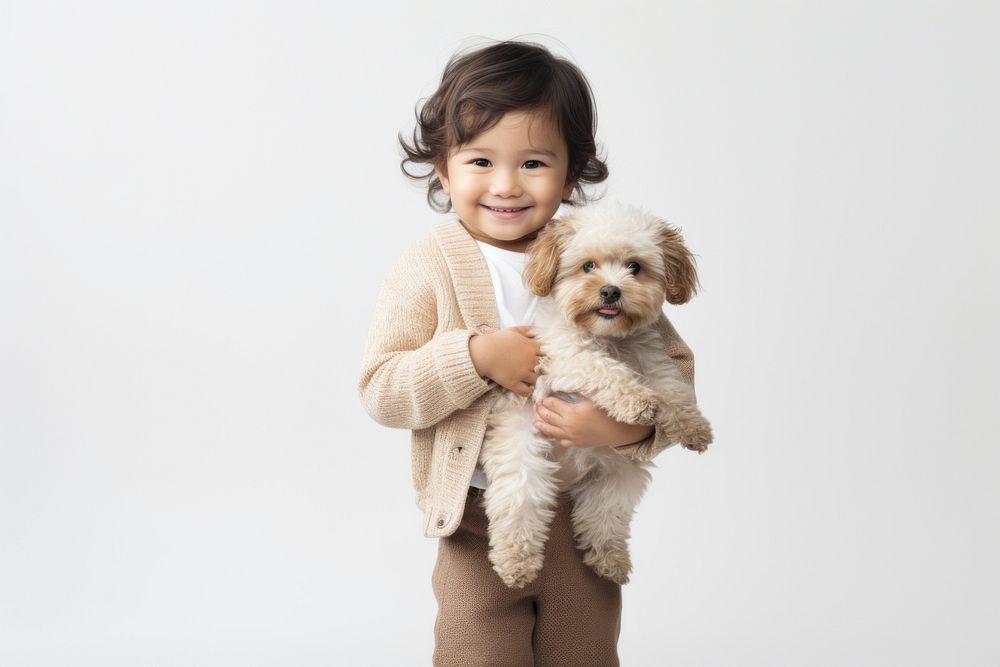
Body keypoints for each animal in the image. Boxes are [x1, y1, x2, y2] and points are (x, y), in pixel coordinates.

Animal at [480, 200, 716, 588]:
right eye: (588, 266)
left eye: (635, 267)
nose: (610, 291)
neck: (609, 338)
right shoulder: (565, 359)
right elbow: (605, 372)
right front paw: (637, 402)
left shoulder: (654, 362)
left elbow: (674, 388)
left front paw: (692, 426)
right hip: (524, 458)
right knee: (520, 507)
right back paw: (517, 563)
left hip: (619, 473)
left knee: (603, 518)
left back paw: (609, 560)